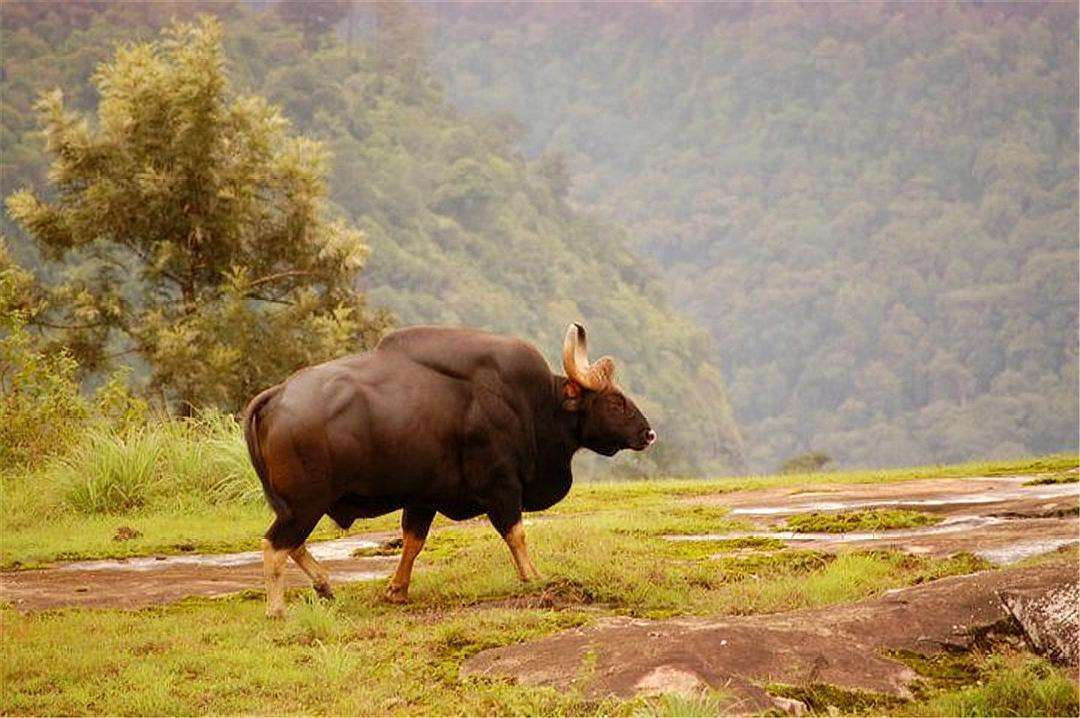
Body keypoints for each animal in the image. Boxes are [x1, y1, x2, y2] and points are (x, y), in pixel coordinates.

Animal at [246, 321, 652, 613]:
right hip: (305, 503)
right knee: (274, 545)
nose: (648, 433)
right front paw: (533, 576)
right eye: (614, 401)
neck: (529, 404)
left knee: (291, 544)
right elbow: (516, 534)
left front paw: (397, 589)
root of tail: (278, 395)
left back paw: (325, 584)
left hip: (299, 505)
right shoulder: (502, 488)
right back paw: (277, 609)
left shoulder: (423, 498)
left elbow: (413, 540)